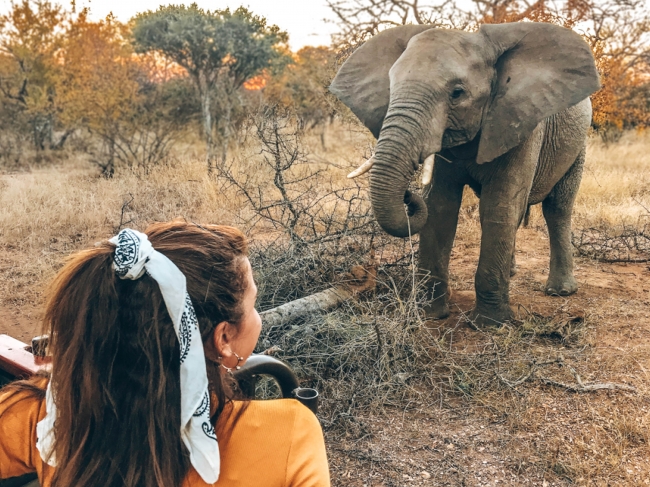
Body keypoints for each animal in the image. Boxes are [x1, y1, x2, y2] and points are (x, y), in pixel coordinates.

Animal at [330, 21, 596, 326]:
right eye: (390, 86)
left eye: (457, 93)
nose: (408, 194)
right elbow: (439, 208)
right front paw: (431, 315)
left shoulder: (520, 123)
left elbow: (498, 208)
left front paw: (491, 324)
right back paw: (512, 273)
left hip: (578, 144)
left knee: (557, 207)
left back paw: (560, 291)